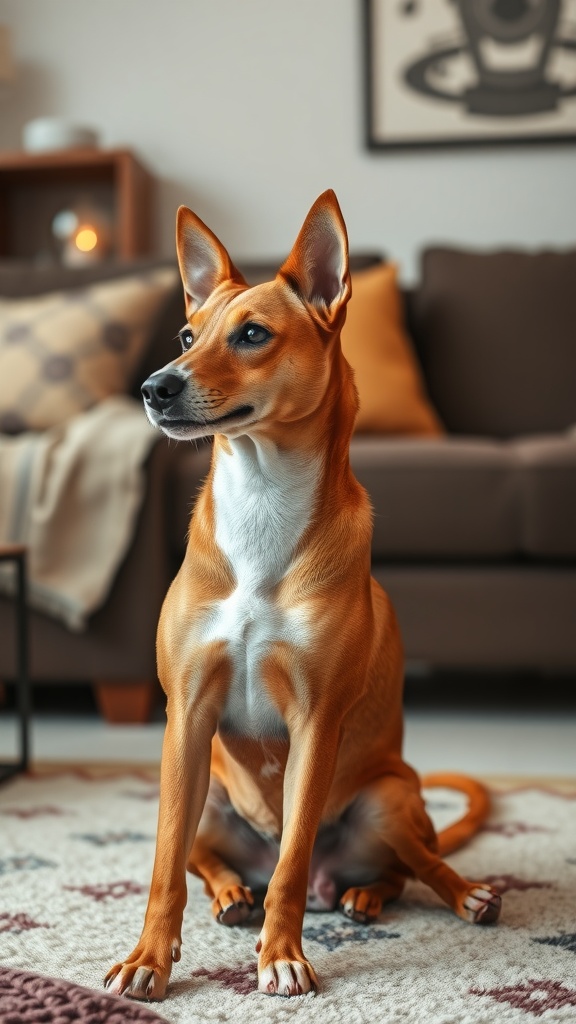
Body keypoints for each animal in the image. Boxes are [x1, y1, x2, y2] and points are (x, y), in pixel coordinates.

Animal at [105, 190, 500, 999]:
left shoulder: (316, 721)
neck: (261, 504)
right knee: (206, 856)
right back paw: (234, 894)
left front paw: (283, 955)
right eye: (187, 334)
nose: (154, 387)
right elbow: (164, 868)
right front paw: (148, 960)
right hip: (206, 792)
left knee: (413, 865)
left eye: (253, 334)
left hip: (387, 797)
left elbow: (290, 864)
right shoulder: (186, 716)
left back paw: (421, 896)